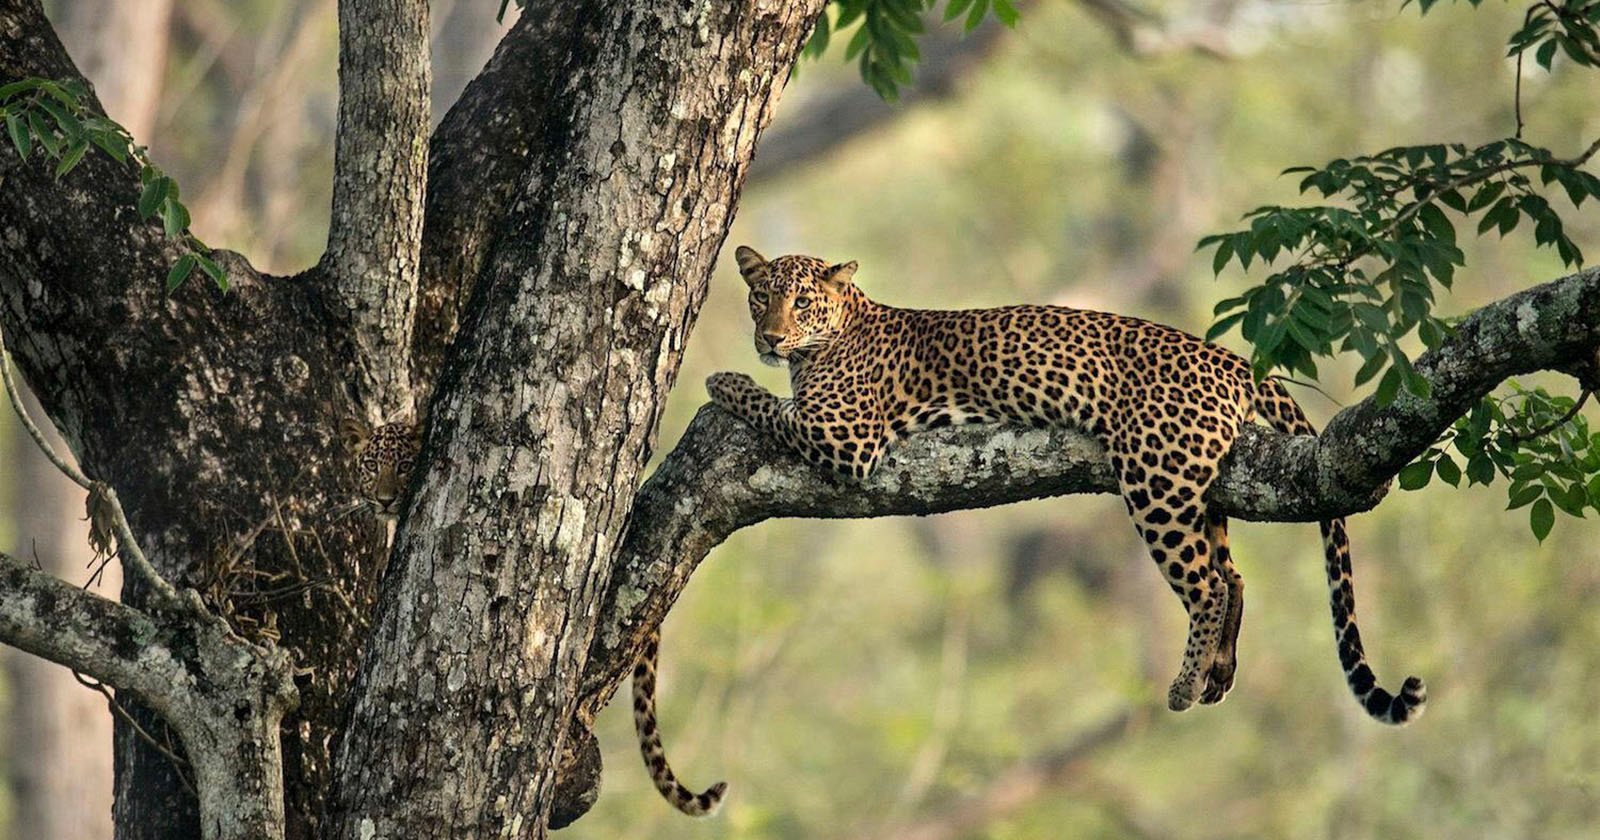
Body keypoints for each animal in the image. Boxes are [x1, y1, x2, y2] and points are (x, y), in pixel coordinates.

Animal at [707, 246, 1433, 723]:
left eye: (801, 302)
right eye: (759, 296)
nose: (769, 337)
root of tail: (1226, 356)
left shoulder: (846, 435)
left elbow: (770, 406)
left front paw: (722, 380)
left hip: (1157, 477)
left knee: (1205, 584)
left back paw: (1182, 686)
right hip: (1198, 486)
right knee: (1232, 575)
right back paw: (1219, 673)